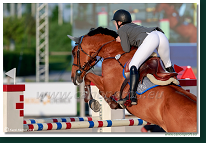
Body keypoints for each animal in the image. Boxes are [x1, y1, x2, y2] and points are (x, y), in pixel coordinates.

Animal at [68, 26, 196, 132]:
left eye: (74, 53)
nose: (74, 77)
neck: (114, 52)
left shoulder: (107, 85)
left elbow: (89, 77)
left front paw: (94, 102)